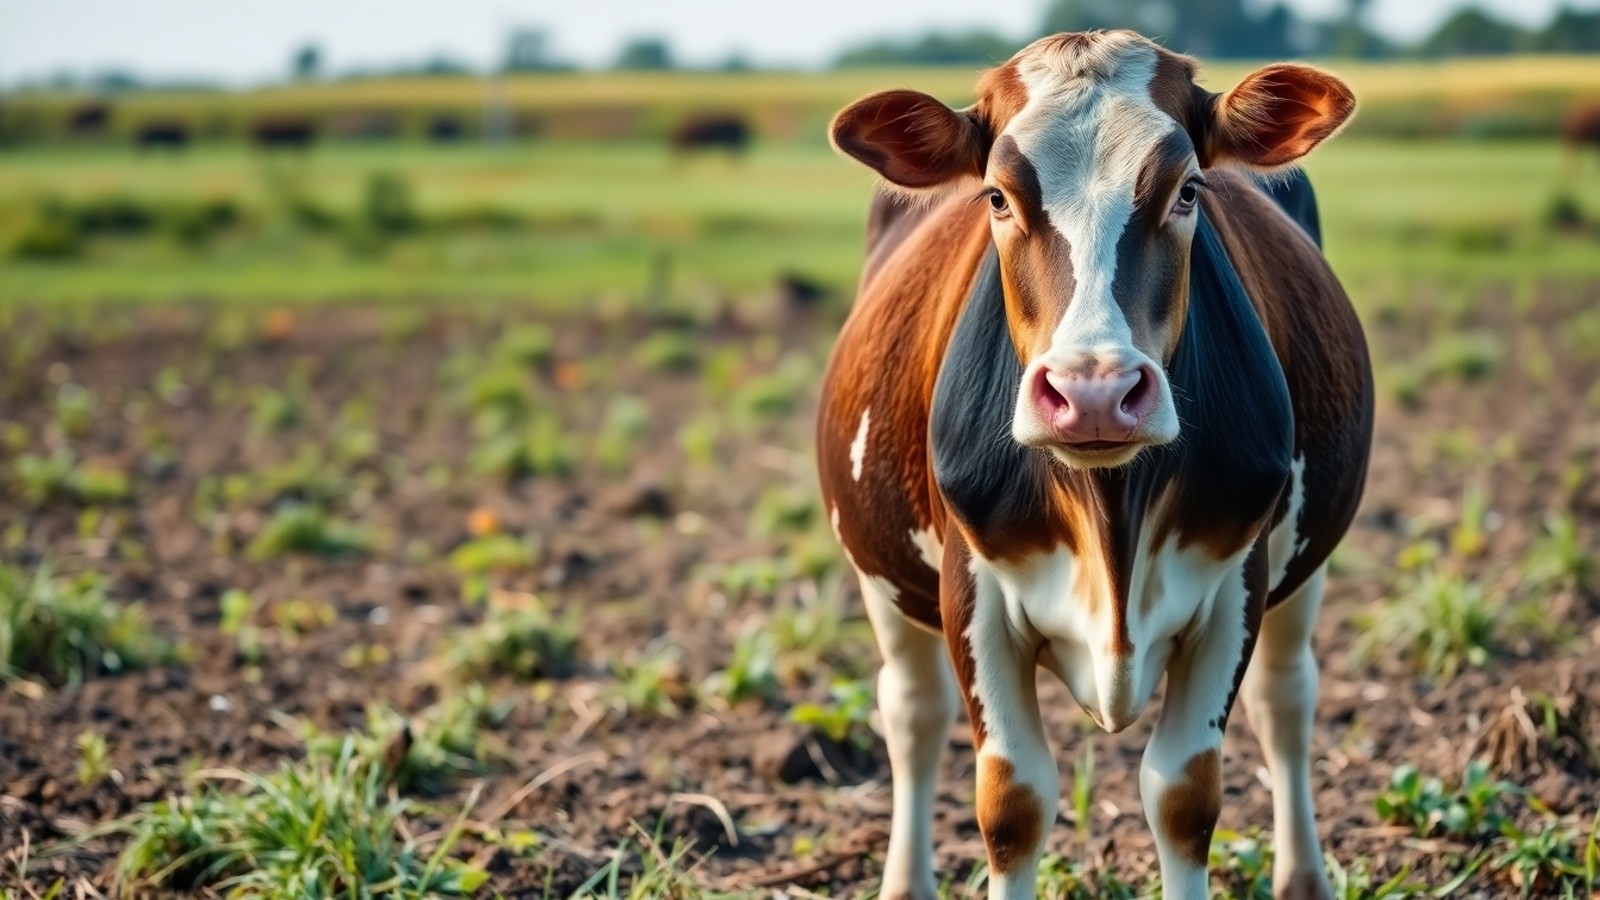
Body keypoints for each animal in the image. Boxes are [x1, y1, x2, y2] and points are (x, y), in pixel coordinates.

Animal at [815, 30, 1372, 900]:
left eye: (1187, 191)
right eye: (997, 197)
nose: (1095, 391)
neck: (1109, 515)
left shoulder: (1236, 578)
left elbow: (1185, 794)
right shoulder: (970, 588)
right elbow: (1012, 802)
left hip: (1301, 568)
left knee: (1287, 699)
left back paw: (1303, 878)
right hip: (879, 569)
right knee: (910, 710)